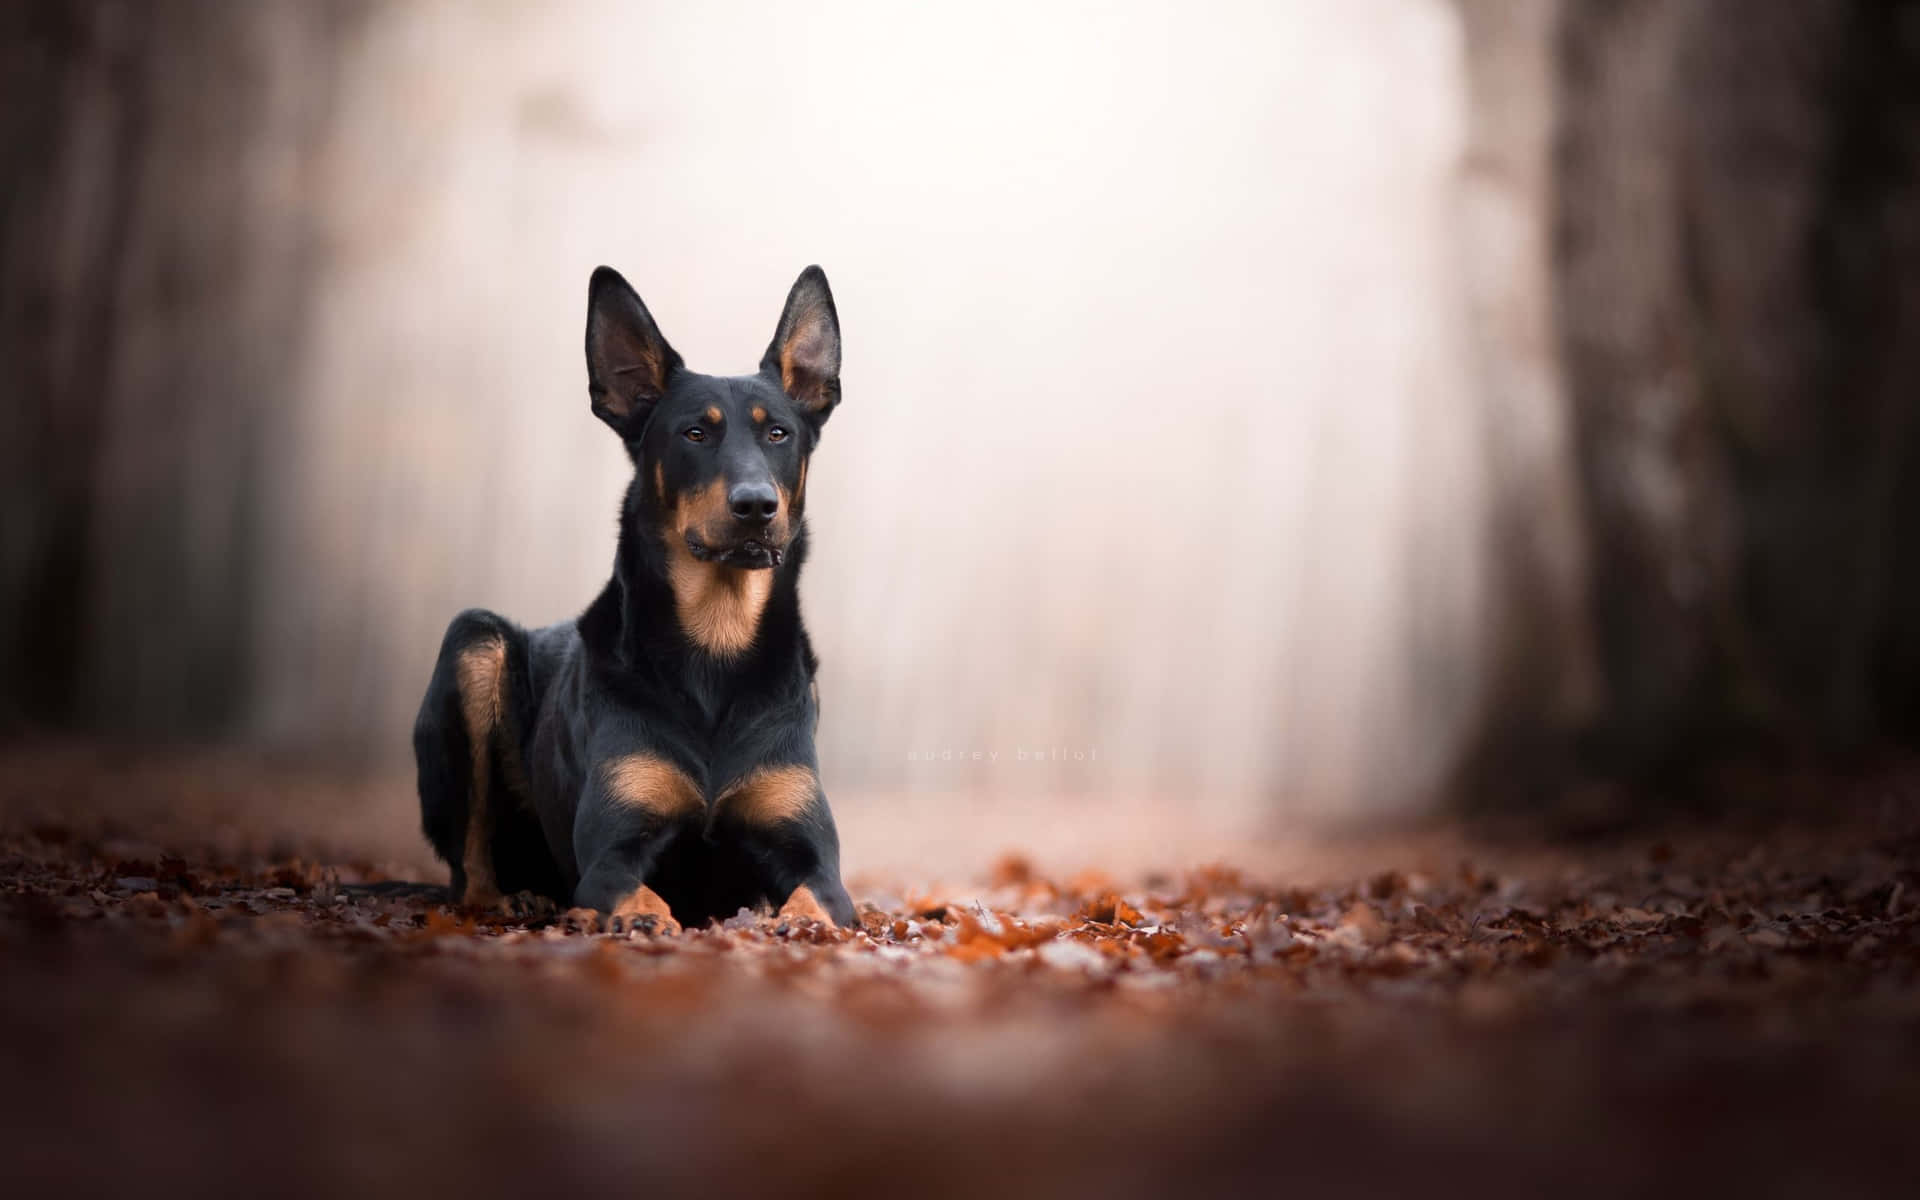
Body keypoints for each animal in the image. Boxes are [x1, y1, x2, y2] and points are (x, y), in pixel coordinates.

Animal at [416, 266, 860, 933]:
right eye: (694, 433)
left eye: (778, 433)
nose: (756, 506)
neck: (716, 644)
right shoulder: (611, 853)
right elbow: (639, 896)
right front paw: (648, 923)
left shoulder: (815, 858)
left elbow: (816, 898)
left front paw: (786, 922)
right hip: (475, 639)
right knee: (470, 871)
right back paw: (514, 899)